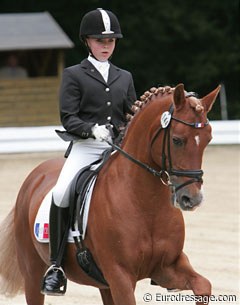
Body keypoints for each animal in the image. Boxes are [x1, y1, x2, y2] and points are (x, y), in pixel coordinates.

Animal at [0, 83, 220, 304]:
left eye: (208, 139)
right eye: (176, 140)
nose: (192, 199)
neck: (145, 203)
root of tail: (34, 177)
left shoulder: (166, 267)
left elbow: (203, 286)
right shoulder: (119, 275)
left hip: (103, 284)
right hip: (32, 273)